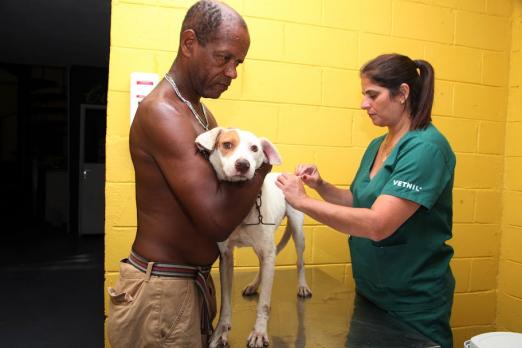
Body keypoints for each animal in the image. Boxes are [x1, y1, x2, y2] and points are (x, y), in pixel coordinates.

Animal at [194, 127, 308, 348]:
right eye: (227, 144)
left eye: (255, 148)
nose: (243, 165)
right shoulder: (226, 257)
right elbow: (226, 303)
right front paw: (220, 331)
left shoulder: (269, 253)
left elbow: (263, 303)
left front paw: (259, 332)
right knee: (263, 268)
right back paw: (255, 284)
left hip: (297, 231)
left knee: (299, 262)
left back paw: (303, 286)